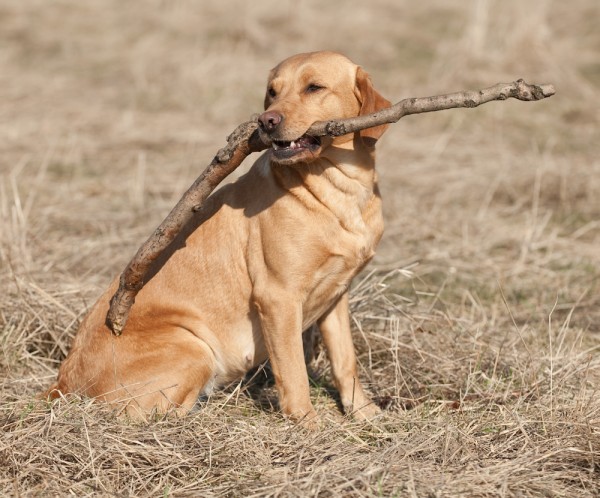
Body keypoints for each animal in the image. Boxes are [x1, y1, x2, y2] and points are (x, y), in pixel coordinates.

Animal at [49, 50, 392, 424]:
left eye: (314, 87)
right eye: (272, 92)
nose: (266, 121)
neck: (340, 189)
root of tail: (61, 383)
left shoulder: (337, 294)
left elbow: (346, 362)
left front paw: (365, 413)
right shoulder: (278, 297)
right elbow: (294, 374)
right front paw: (309, 426)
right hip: (193, 346)